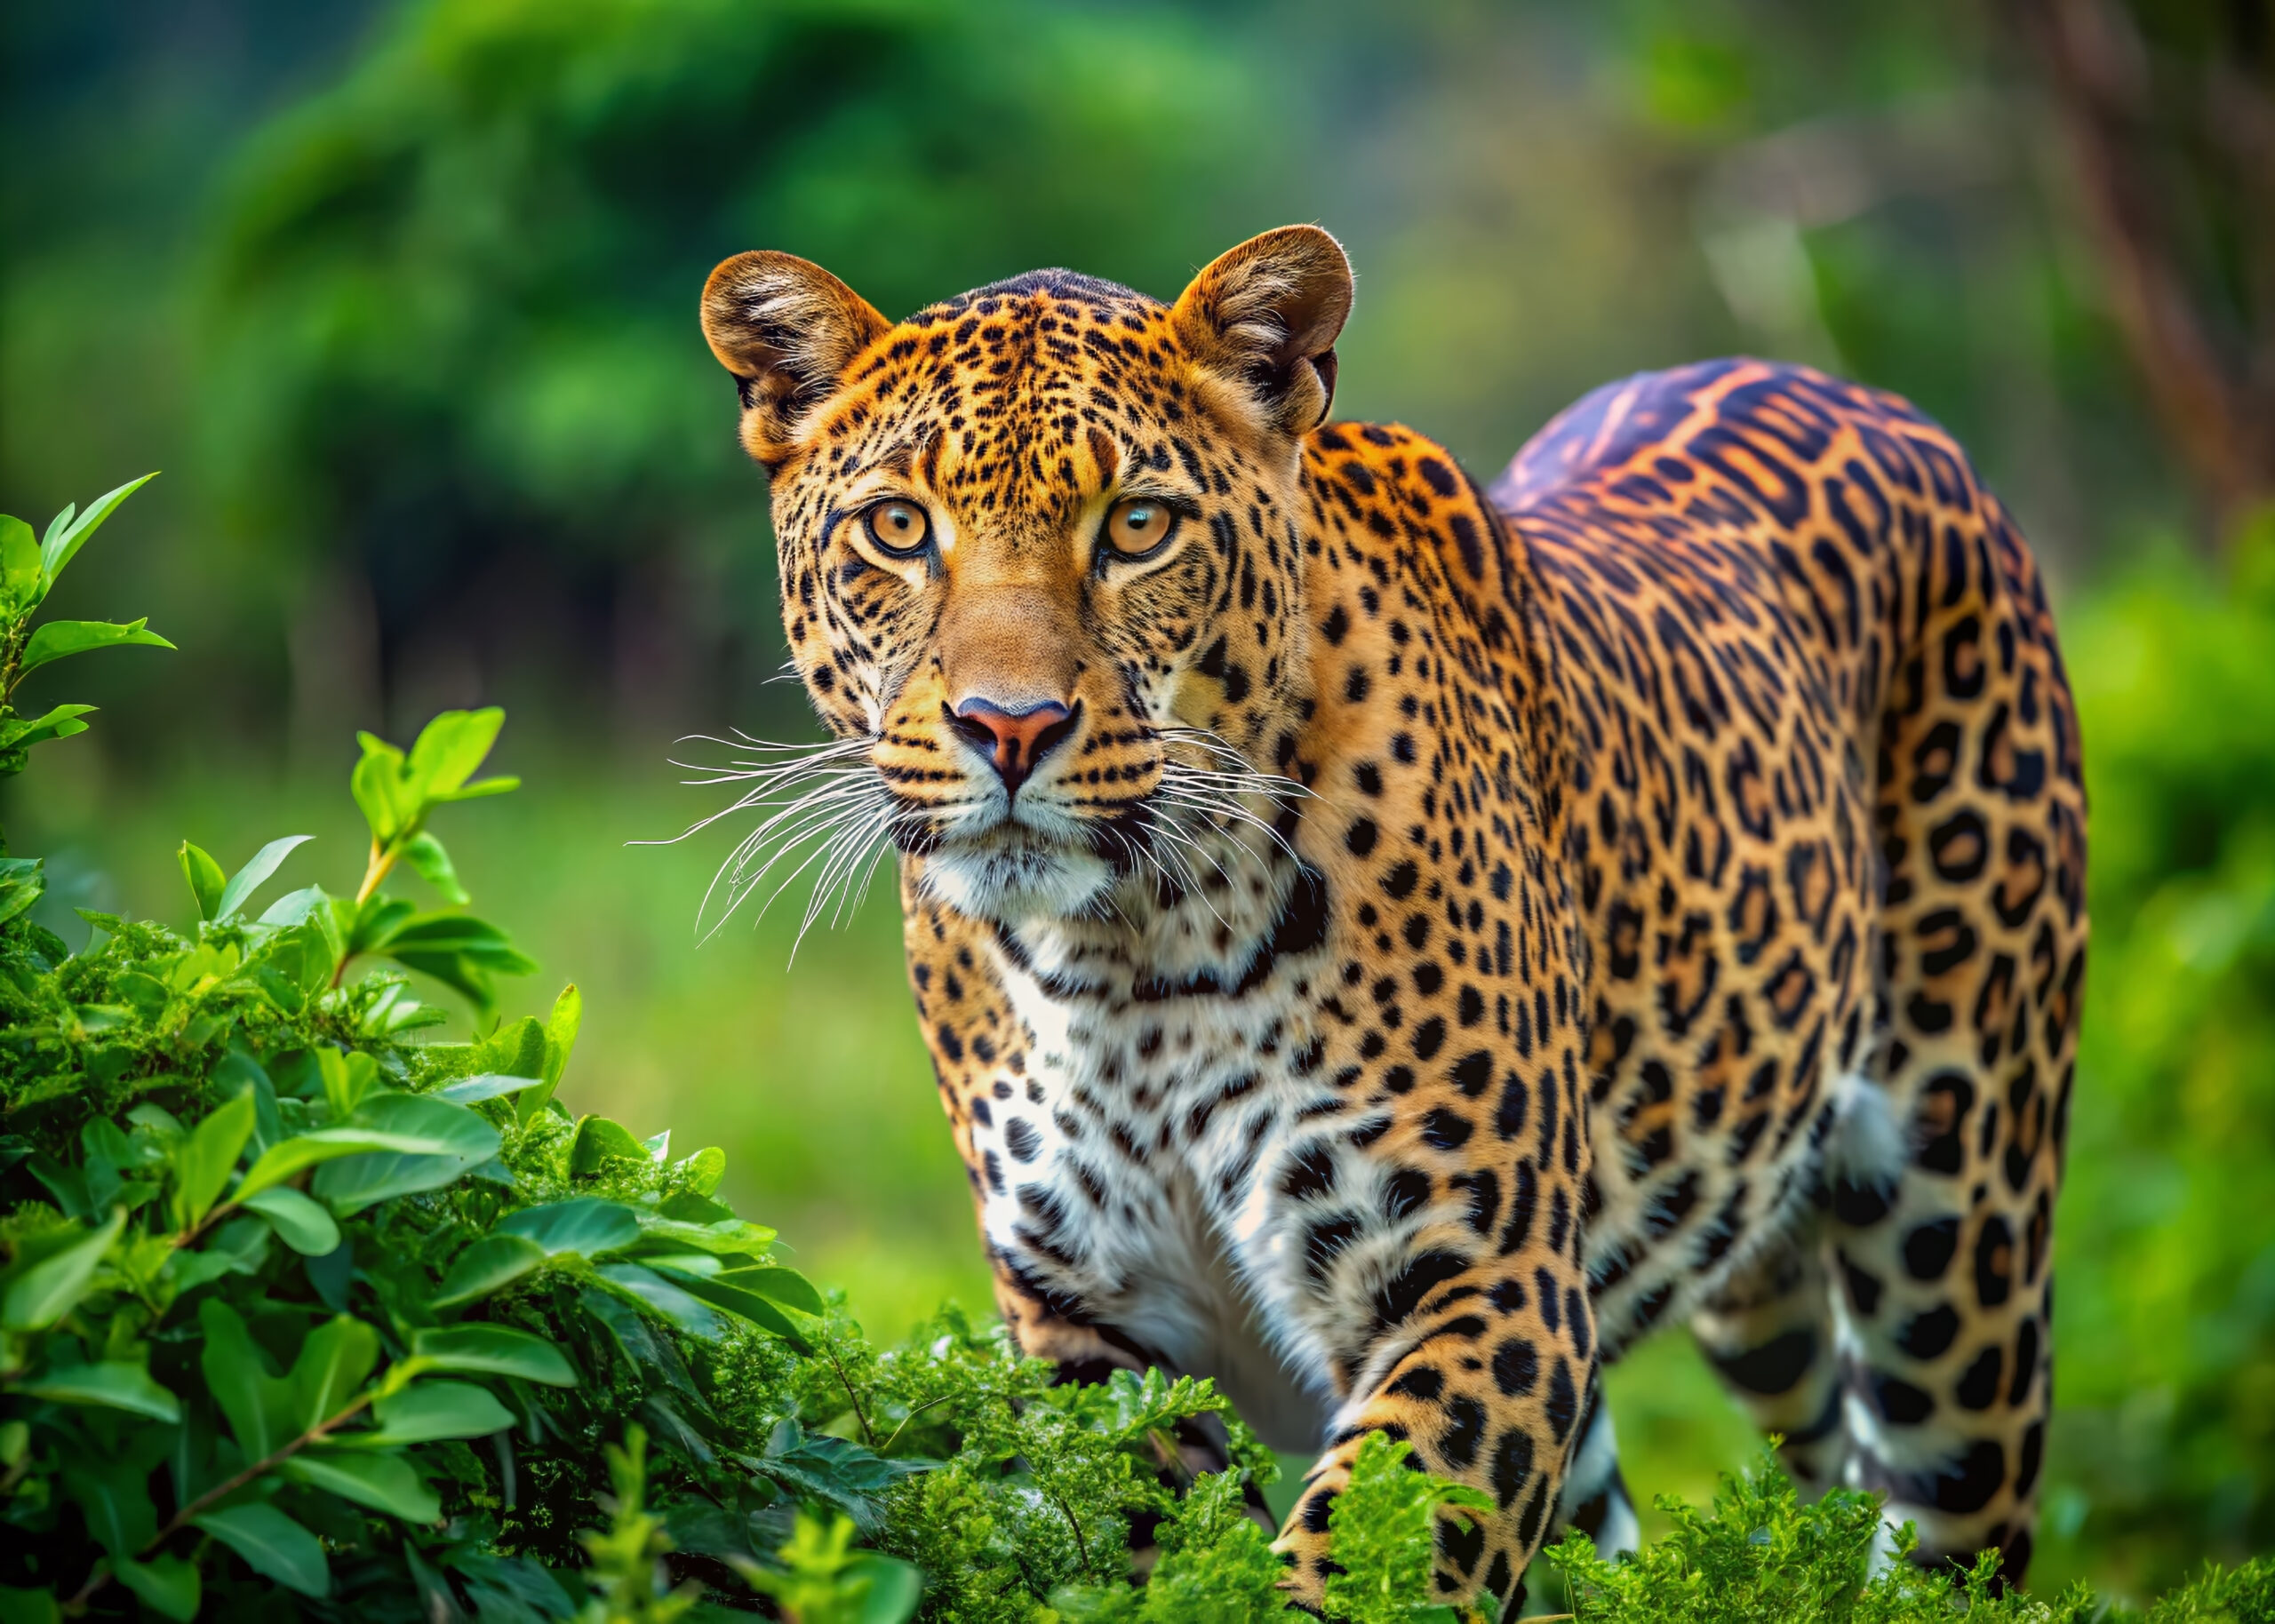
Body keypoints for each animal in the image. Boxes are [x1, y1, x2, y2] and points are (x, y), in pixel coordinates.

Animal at [697, 225, 2086, 1615]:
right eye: (897, 528)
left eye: (1138, 525)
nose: (1009, 727)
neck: (1132, 957)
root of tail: (1877, 402)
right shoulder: (1090, 1325)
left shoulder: (1486, 1280)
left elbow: (1363, 1557)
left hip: (1962, 1248)